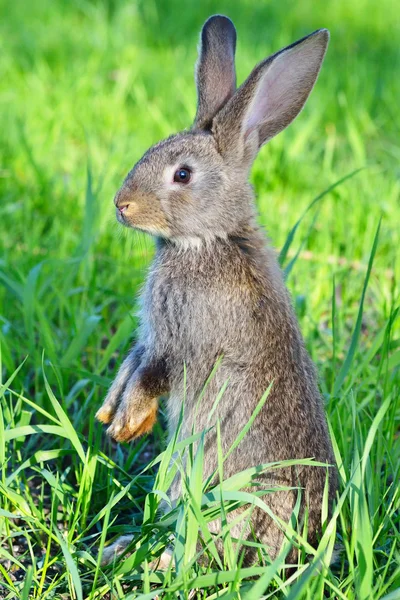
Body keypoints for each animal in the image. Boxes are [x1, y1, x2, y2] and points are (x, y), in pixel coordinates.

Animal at [97, 14, 338, 568]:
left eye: (183, 175)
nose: (121, 205)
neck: (212, 238)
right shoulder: (151, 337)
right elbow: (131, 364)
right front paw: (111, 413)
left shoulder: (185, 343)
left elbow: (153, 374)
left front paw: (128, 422)